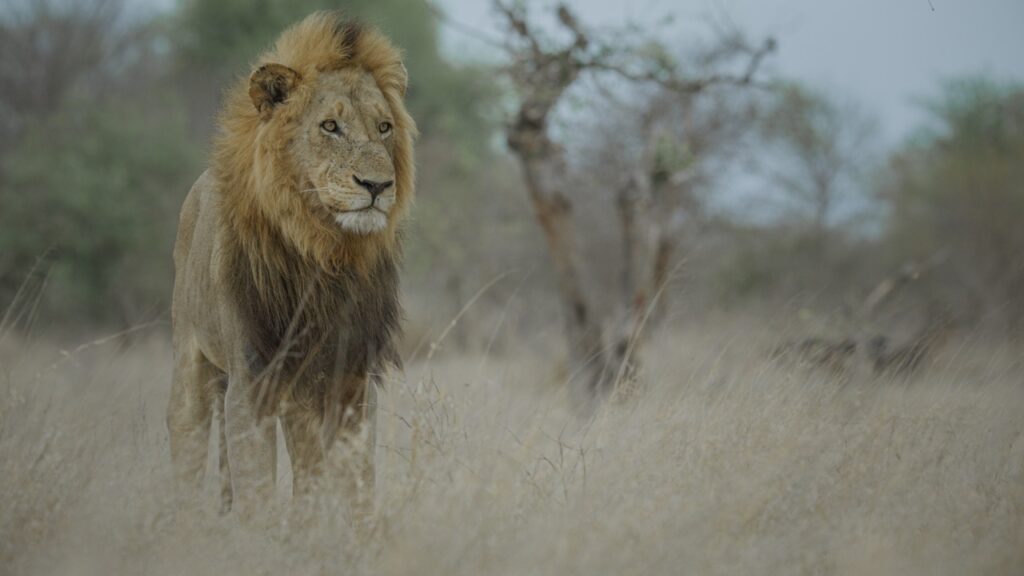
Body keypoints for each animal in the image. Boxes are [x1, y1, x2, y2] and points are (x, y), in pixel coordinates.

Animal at [167, 12, 415, 519]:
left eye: (384, 127)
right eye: (330, 126)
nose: (378, 186)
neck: (324, 254)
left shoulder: (351, 380)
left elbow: (358, 483)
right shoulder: (251, 381)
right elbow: (257, 490)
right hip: (190, 362)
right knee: (187, 443)